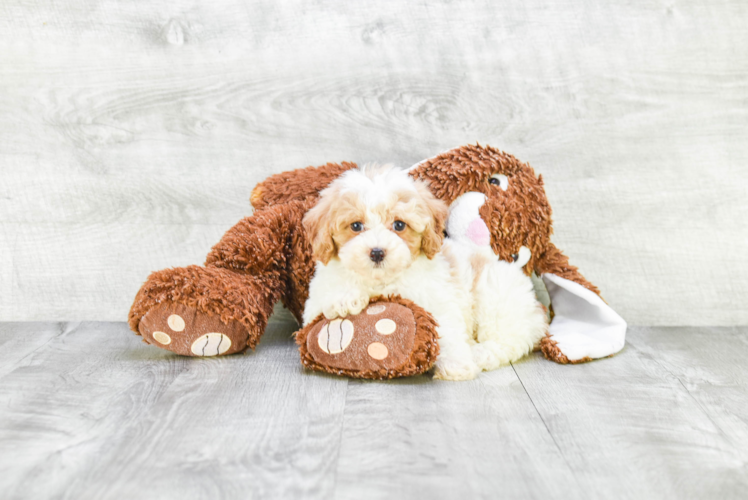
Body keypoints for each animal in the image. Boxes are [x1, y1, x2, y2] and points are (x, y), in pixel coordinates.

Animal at [300, 164, 548, 378]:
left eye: (399, 225)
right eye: (355, 226)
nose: (377, 252)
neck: (382, 281)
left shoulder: (439, 300)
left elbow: (447, 330)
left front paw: (456, 366)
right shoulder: (314, 302)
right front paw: (344, 299)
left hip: (496, 296)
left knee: (509, 339)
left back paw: (481, 353)